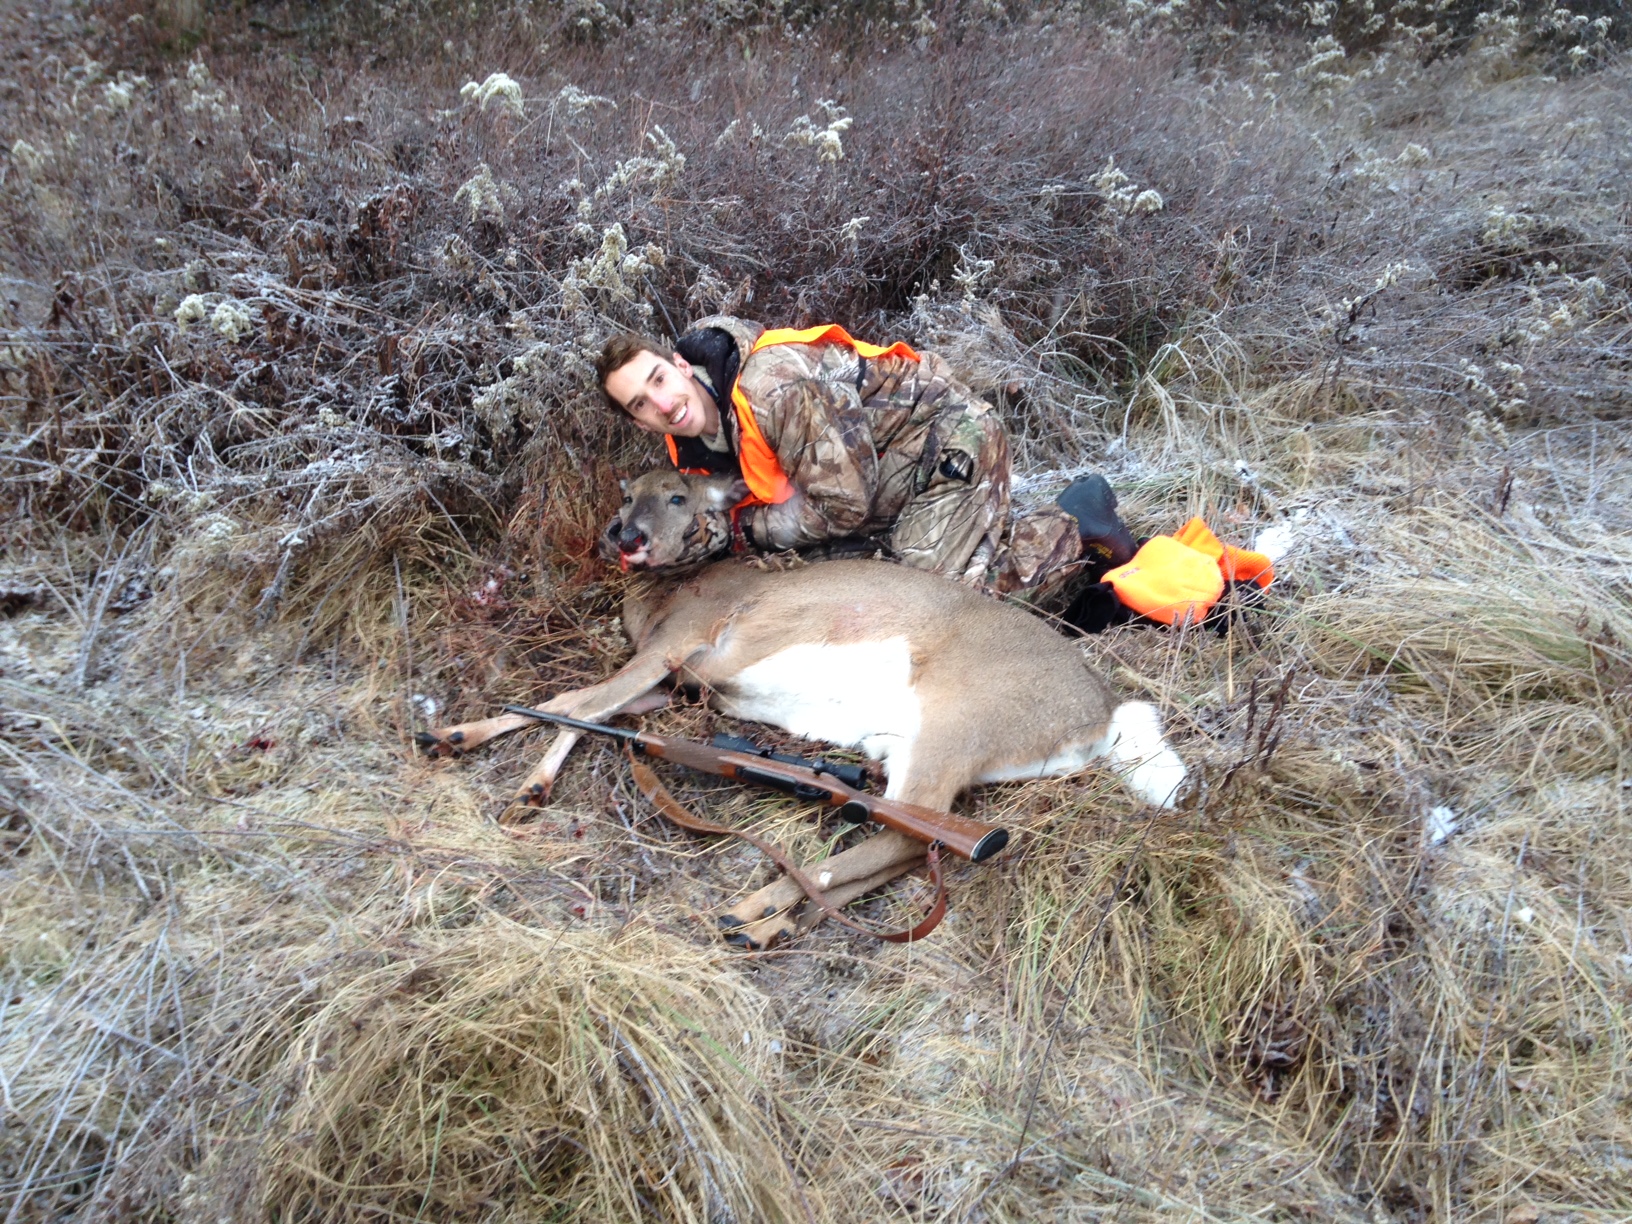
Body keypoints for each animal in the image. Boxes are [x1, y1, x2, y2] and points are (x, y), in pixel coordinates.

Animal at [421, 470, 1188, 946]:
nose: (623, 535)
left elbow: (576, 700)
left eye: (678, 496)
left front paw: (491, 763)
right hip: (924, 749)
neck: (674, 593)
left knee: (912, 833)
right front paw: (482, 754)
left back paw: (754, 905)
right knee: (913, 844)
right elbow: (590, 710)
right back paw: (769, 923)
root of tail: (1105, 711)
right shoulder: (674, 681)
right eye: (629, 493)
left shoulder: (675, 647)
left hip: (954, 724)